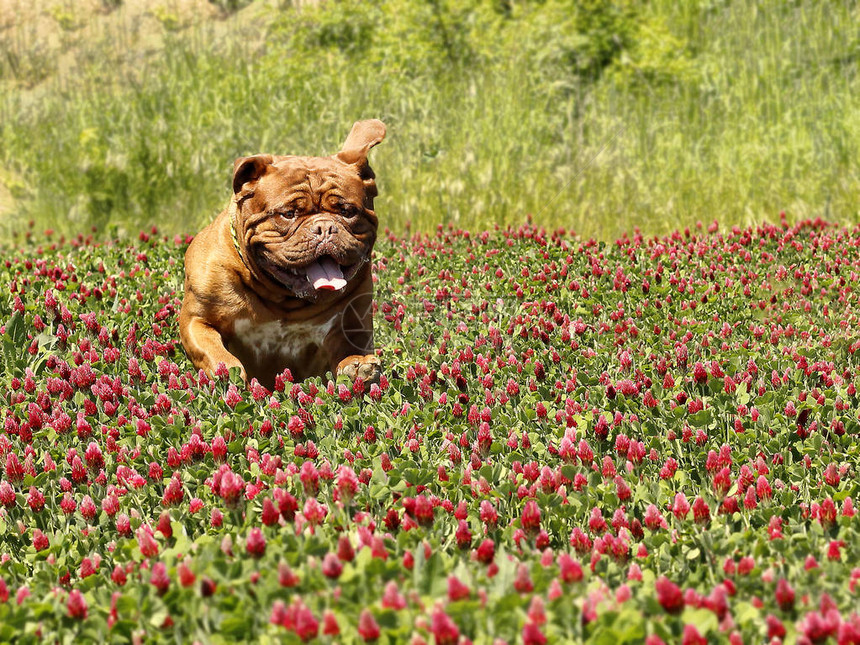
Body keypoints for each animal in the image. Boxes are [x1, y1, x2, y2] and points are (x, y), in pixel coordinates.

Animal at [178, 119, 386, 388]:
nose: (324, 228)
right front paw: (227, 372)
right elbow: (212, 349)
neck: (283, 298)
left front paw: (358, 365)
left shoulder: (352, 324)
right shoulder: (197, 319)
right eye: (288, 213)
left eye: (347, 211)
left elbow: (350, 348)